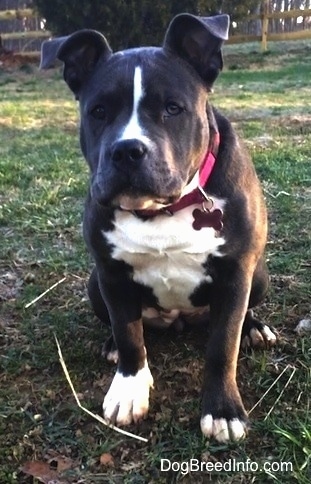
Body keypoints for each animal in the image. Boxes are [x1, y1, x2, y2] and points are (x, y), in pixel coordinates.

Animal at [40, 13, 278, 442]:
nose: (126, 150)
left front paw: (222, 410)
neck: (163, 209)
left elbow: (223, 345)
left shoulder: (236, 272)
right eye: (98, 111)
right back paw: (110, 346)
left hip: (259, 275)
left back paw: (255, 329)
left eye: (173, 108)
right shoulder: (111, 274)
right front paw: (128, 390)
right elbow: (129, 335)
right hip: (93, 284)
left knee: (241, 316)